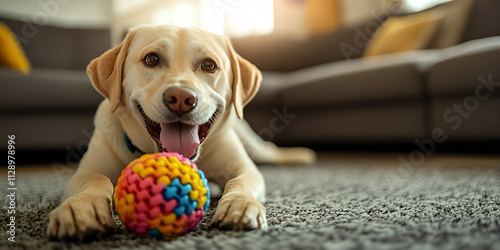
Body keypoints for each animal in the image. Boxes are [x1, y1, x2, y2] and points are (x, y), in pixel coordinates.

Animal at [46, 24, 312, 240]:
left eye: (209, 65)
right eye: (152, 60)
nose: (182, 98)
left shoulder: (245, 168)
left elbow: (239, 181)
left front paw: (241, 205)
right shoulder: (85, 172)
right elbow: (95, 178)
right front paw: (82, 207)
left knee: (269, 151)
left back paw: (300, 155)